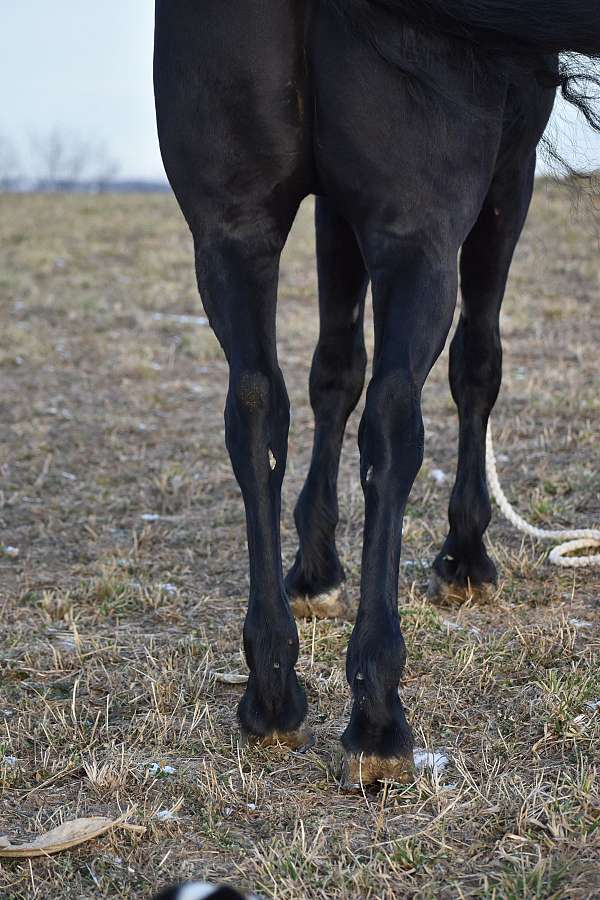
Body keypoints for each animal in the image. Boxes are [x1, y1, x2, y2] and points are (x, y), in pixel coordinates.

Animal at [154, 0, 600, 784]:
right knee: (394, 418)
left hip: (232, 232)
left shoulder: (332, 208)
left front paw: (315, 571)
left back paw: (272, 691)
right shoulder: (508, 179)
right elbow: (476, 364)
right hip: (419, 236)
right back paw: (379, 716)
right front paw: (464, 558)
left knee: (256, 405)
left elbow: (333, 370)